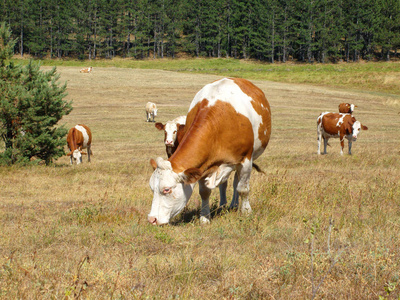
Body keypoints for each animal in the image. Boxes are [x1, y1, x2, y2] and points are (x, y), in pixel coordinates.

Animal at [147, 77, 272, 225]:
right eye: (152, 188)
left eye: (167, 189)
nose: (152, 219)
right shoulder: (202, 165)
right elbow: (204, 192)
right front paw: (204, 217)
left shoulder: (245, 160)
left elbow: (243, 189)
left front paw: (246, 212)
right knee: (224, 184)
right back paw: (224, 205)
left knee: (237, 182)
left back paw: (235, 204)